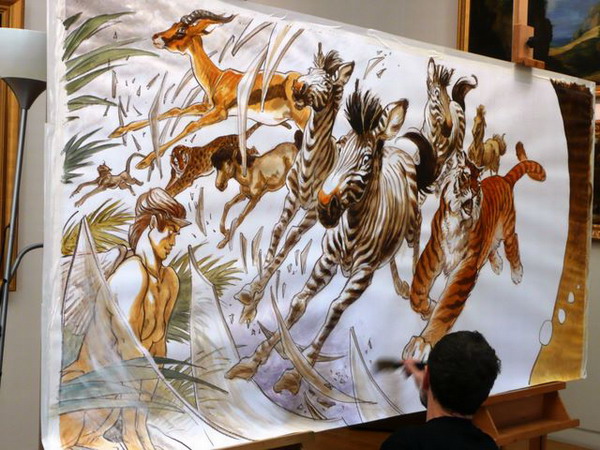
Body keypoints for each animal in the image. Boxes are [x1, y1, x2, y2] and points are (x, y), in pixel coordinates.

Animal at [226, 86, 436, 394]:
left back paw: (415, 296)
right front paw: (254, 360)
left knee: (413, 247)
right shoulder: (326, 259)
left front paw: (298, 371)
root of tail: (399, 151)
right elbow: (299, 301)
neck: (354, 227)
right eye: (340, 148)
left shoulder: (362, 275)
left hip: (412, 224)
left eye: (365, 159)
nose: (326, 205)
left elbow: (335, 310)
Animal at [235, 45, 355, 324]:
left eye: (327, 83)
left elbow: (290, 239)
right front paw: (251, 294)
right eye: (309, 71)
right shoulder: (291, 197)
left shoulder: (312, 212)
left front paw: (253, 298)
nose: (299, 86)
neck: (310, 165)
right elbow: (278, 231)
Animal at [403, 143, 546, 360]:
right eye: (465, 176)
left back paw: (516, 272)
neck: (456, 221)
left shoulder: (466, 268)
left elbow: (446, 308)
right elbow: (417, 290)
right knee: (491, 248)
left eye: (477, 182)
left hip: (506, 228)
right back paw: (497, 264)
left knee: (513, 244)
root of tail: (503, 178)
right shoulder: (433, 253)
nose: (476, 191)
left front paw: (422, 344)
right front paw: (429, 307)